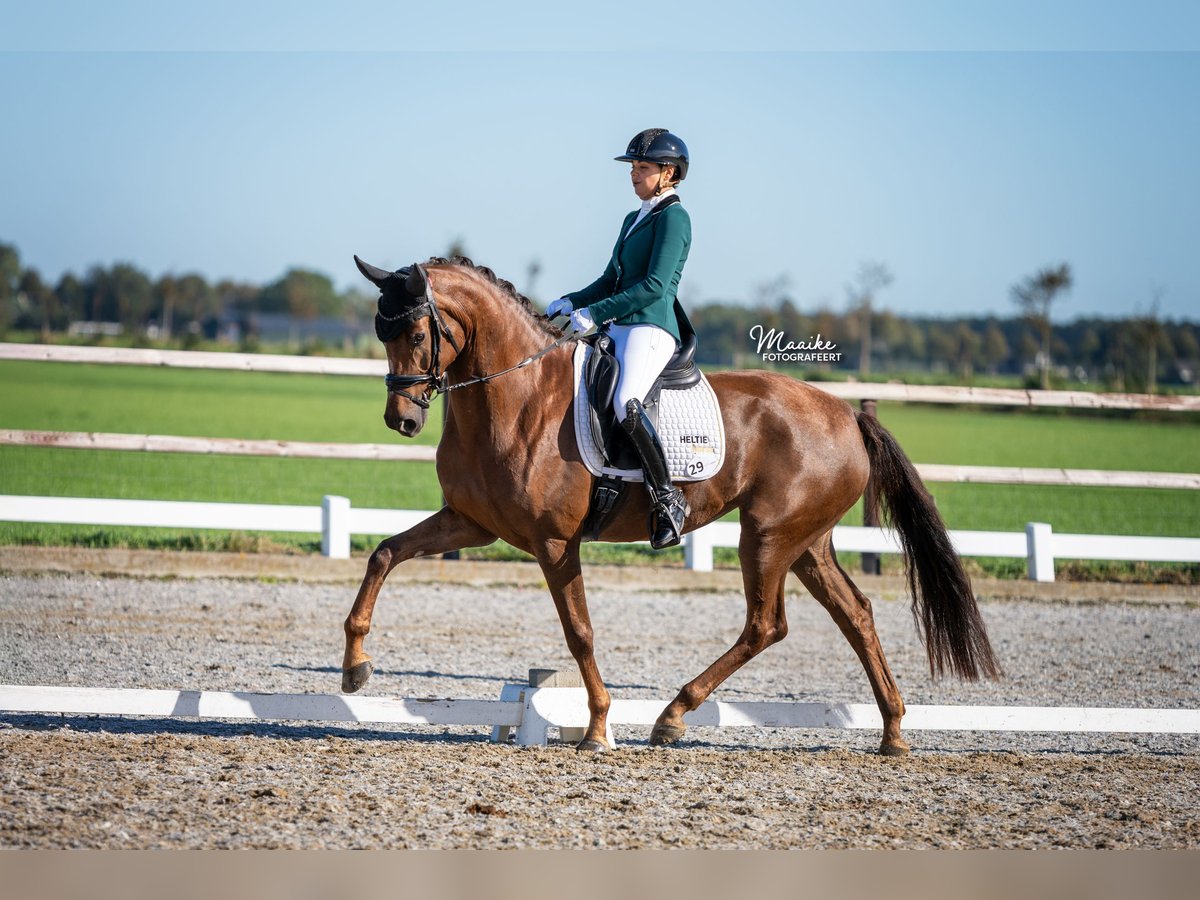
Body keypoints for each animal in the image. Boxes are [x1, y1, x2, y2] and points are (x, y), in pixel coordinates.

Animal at [343, 256, 998, 758]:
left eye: (418, 335)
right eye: (381, 334)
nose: (401, 421)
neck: (517, 396)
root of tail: (846, 416)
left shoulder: (555, 542)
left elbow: (579, 632)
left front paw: (598, 728)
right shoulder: (472, 524)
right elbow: (383, 555)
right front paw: (355, 666)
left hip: (767, 537)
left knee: (766, 624)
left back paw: (673, 714)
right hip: (807, 542)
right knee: (855, 615)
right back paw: (892, 732)